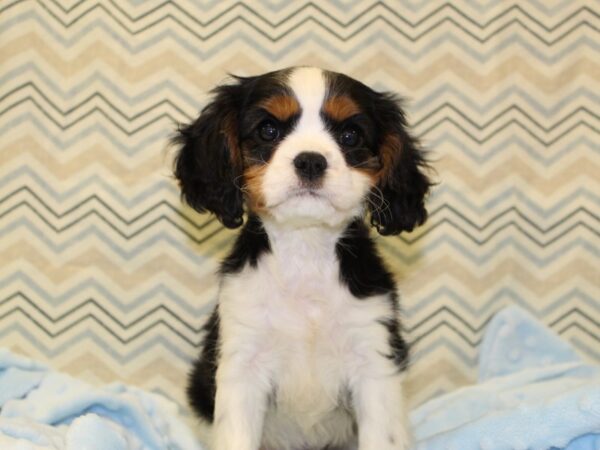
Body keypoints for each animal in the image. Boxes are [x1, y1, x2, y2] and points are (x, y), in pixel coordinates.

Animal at [173, 67, 432, 450]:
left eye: (350, 135)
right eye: (268, 130)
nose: (310, 160)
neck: (305, 249)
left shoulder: (373, 358)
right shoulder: (243, 360)